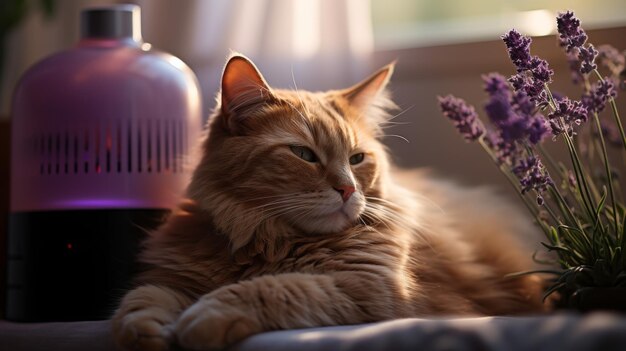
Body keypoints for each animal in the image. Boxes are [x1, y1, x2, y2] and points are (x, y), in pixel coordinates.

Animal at [112, 55, 544, 351]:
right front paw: (146, 332)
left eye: (357, 159)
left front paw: (207, 315)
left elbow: (278, 288)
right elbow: (142, 301)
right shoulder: (172, 279)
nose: (348, 189)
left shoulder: (368, 285)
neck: (266, 239)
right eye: (304, 155)